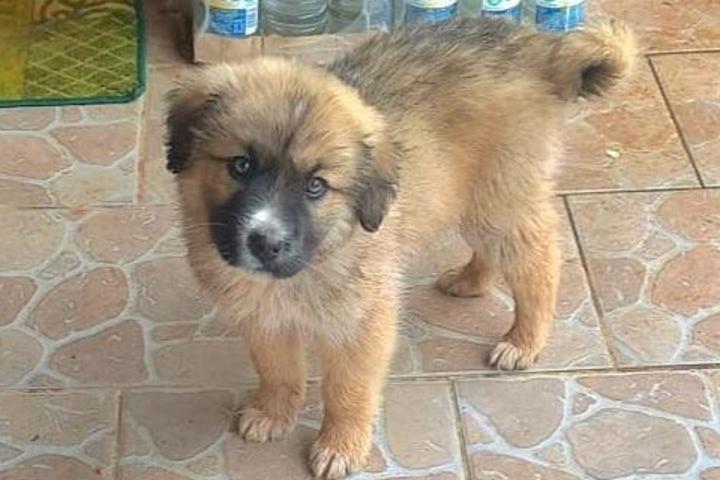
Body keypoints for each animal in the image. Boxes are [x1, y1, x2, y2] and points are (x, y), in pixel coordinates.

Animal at [164, 18, 636, 479]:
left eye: (316, 186)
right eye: (241, 165)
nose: (265, 242)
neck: (313, 262)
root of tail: (537, 48)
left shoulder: (363, 322)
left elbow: (348, 388)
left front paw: (341, 446)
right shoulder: (262, 315)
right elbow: (277, 368)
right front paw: (273, 412)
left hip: (500, 198)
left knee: (539, 260)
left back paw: (523, 341)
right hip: (472, 198)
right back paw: (469, 281)